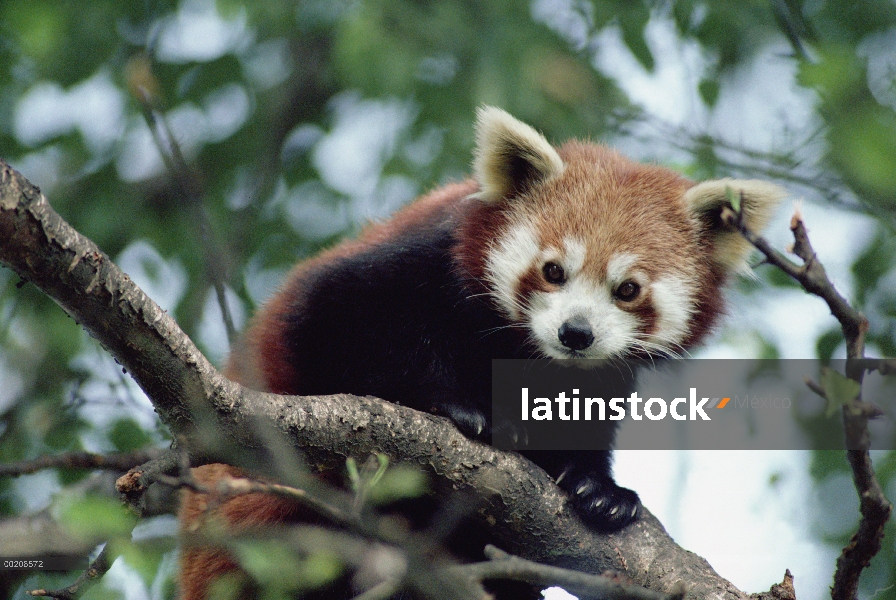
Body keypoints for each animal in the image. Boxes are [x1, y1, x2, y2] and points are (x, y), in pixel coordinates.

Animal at [180, 108, 776, 600]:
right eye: (553, 270)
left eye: (627, 289)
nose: (575, 333)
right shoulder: (417, 263)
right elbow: (331, 322)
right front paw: (455, 405)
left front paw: (600, 489)